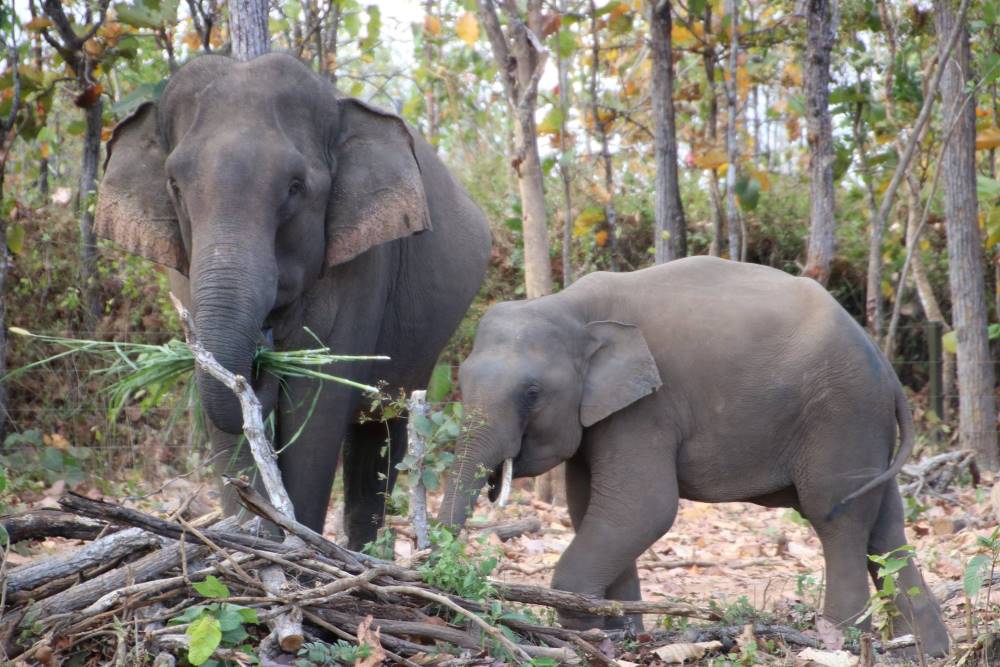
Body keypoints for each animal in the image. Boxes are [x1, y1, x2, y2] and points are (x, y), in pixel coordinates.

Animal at [97, 54, 492, 548]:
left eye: (295, 187)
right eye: (175, 186)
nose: (264, 350)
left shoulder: (362, 266)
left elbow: (315, 405)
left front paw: (291, 540)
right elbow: (223, 408)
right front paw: (252, 532)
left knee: (382, 430)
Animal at [442, 258, 948, 656]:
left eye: (531, 393)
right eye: (460, 379)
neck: (571, 305)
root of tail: (886, 367)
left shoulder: (647, 408)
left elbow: (643, 508)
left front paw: (588, 626)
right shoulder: (606, 417)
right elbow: (589, 507)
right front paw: (623, 634)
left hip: (841, 414)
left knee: (836, 517)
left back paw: (840, 642)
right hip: (865, 429)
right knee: (885, 525)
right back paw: (922, 651)